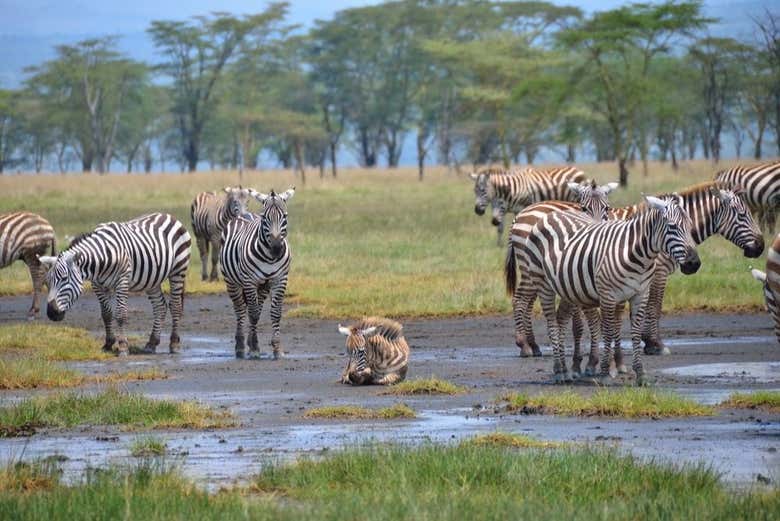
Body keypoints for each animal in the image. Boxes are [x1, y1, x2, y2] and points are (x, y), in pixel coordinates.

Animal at [38, 213, 191, 356]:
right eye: (47, 282)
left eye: (64, 278)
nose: (51, 313)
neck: (103, 258)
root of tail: (168, 215)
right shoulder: (97, 285)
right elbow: (106, 314)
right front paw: (108, 344)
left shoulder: (122, 282)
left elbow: (121, 314)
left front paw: (123, 346)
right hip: (152, 279)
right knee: (160, 306)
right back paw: (151, 343)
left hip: (178, 270)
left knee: (175, 306)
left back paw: (174, 344)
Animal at [221, 187, 294, 360]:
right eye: (265, 218)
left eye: (285, 216)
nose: (276, 248)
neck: (270, 258)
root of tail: (245, 214)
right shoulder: (249, 281)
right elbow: (253, 314)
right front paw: (254, 347)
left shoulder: (280, 280)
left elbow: (275, 313)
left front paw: (277, 348)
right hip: (232, 282)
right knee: (241, 310)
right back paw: (240, 346)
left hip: (263, 286)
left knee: (255, 308)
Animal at [507, 195, 701, 385]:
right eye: (672, 227)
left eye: (691, 226)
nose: (693, 264)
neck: (637, 255)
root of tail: (549, 215)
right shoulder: (608, 296)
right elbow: (607, 331)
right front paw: (606, 372)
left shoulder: (640, 295)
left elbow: (635, 333)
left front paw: (640, 374)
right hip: (542, 283)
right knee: (551, 324)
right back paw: (557, 370)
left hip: (568, 288)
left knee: (561, 321)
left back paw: (565, 370)